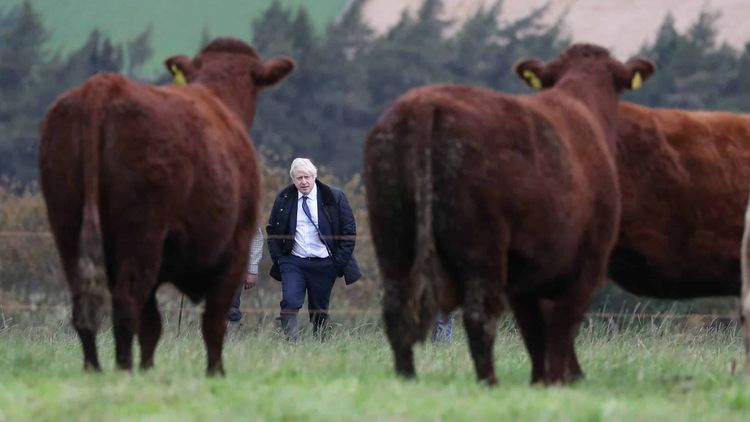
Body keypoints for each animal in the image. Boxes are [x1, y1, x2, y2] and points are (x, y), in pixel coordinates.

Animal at [38, 38, 294, 374]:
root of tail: (102, 86)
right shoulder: (236, 247)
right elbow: (213, 322)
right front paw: (215, 373)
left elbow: (153, 326)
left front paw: (149, 369)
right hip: (142, 234)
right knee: (126, 305)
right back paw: (123, 371)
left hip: (67, 226)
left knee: (86, 307)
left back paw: (95, 370)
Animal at [363, 44, 654, 385]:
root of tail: (423, 102)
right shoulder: (588, 264)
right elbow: (560, 330)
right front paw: (557, 382)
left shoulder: (527, 278)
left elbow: (535, 334)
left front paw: (540, 382)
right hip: (482, 244)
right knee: (480, 315)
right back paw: (489, 383)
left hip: (391, 236)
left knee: (396, 309)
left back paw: (407, 379)